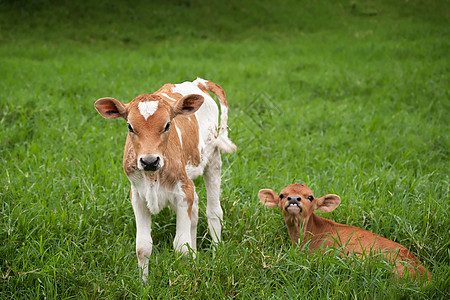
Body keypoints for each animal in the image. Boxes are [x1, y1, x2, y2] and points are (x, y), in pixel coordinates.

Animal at [94, 78, 236, 280]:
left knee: (214, 211)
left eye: (168, 124)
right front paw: (144, 283)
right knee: (196, 210)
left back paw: (217, 256)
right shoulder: (138, 196)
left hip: (213, 159)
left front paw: (185, 280)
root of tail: (198, 83)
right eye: (130, 126)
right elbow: (142, 247)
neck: (152, 177)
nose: (149, 160)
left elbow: (181, 247)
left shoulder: (183, 193)